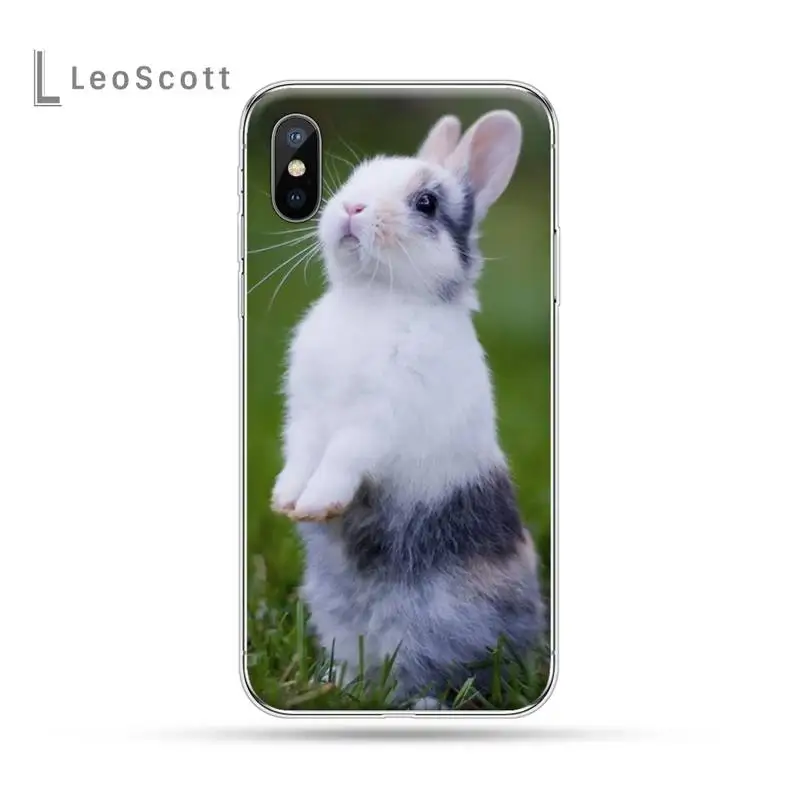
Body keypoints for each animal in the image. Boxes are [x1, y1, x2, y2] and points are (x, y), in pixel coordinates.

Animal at [270, 110, 547, 709]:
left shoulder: (375, 424)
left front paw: (318, 504)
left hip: (434, 625)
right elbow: (301, 456)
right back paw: (334, 682)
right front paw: (287, 502)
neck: (374, 299)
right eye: (359, 178)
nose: (352, 208)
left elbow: (340, 459)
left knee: (438, 672)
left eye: (426, 203)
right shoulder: (305, 415)